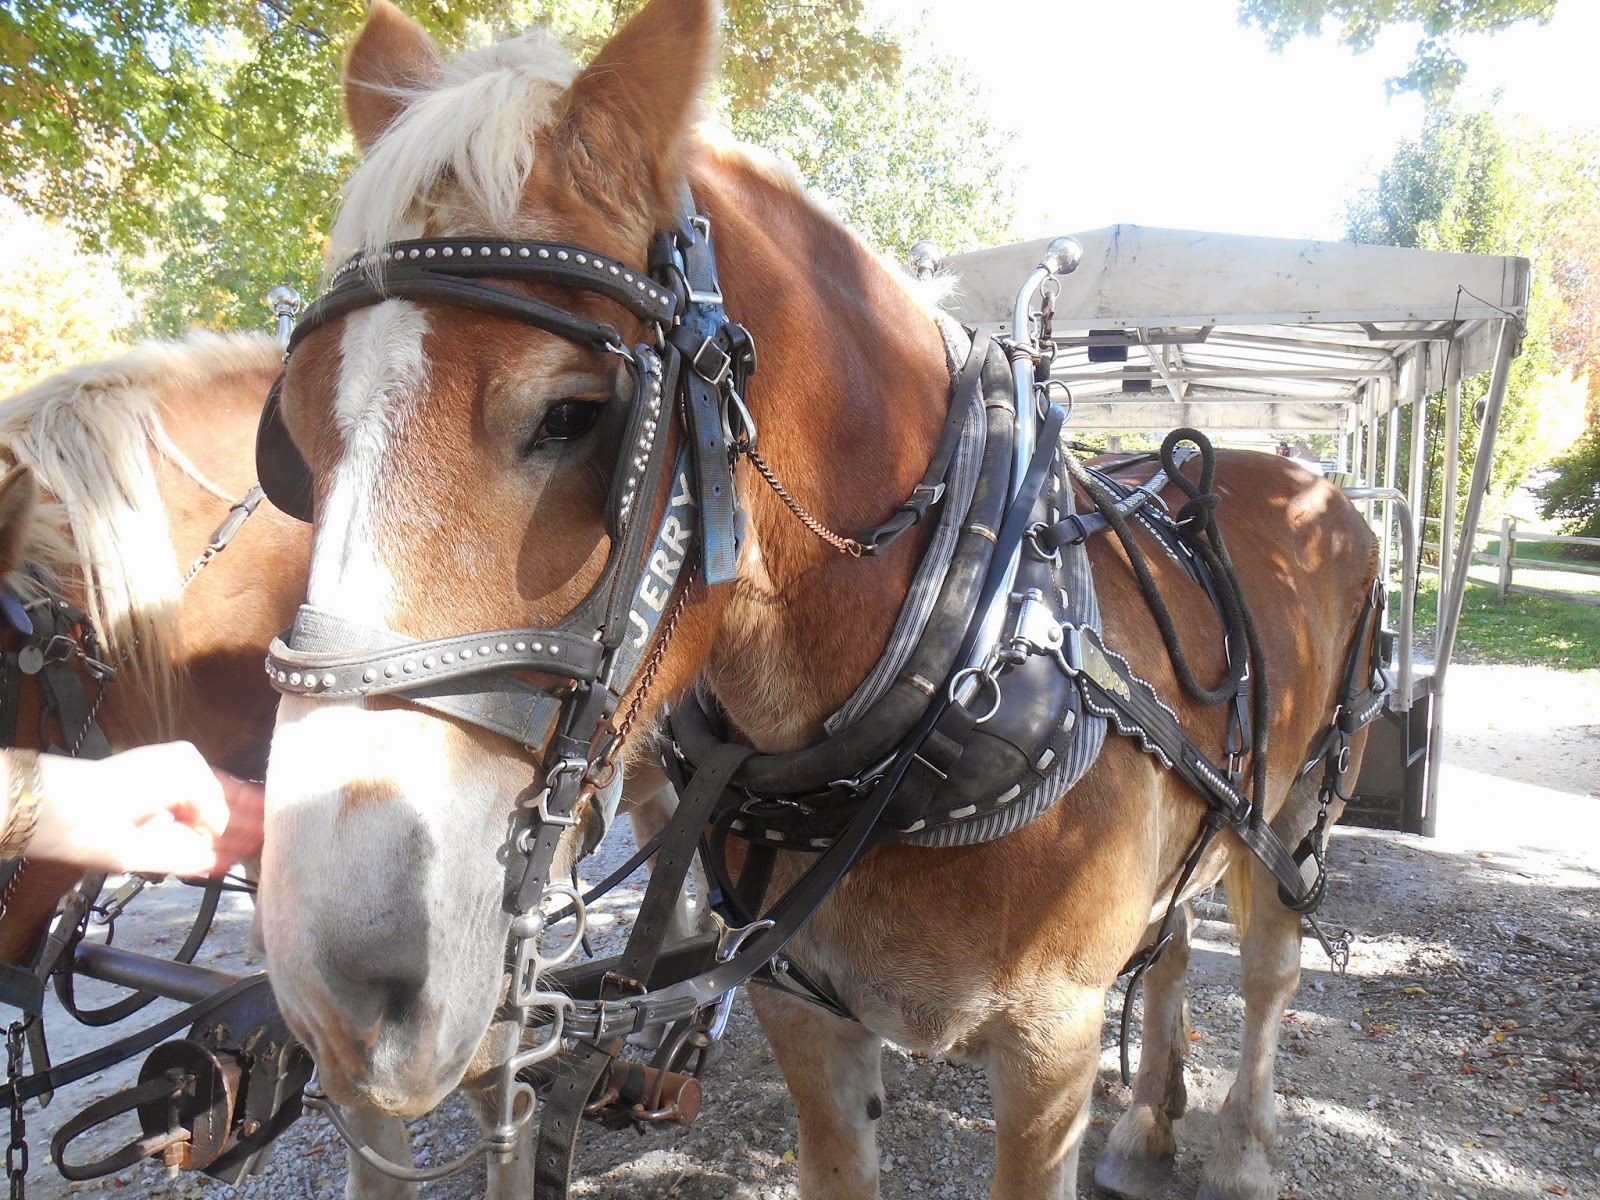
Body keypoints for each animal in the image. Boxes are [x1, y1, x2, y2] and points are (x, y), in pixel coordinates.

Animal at [254, 3, 1381, 1199]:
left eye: (573, 415)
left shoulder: (1053, 1043)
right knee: (1170, 944)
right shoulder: (799, 1004)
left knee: (1266, 972)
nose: (344, 985)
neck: (949, 653)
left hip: (1304, 813)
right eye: (293, 437)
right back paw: (1150, 1121)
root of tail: (1301, 480)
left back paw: (1244, 1146)